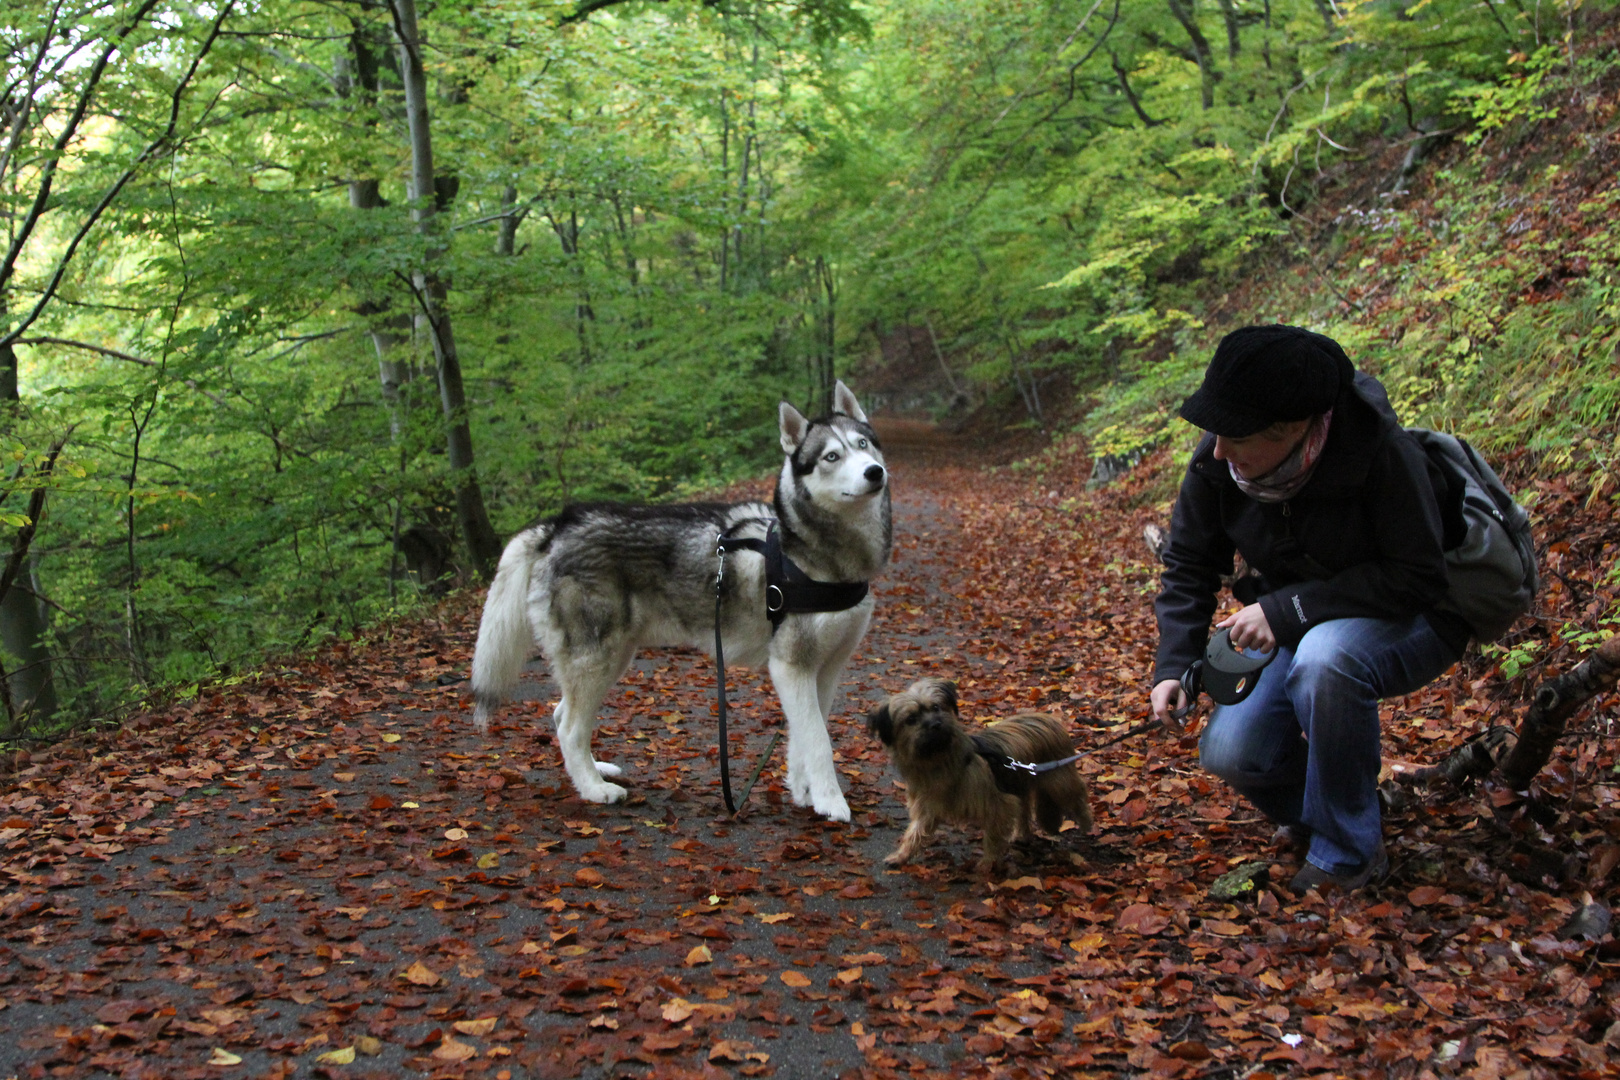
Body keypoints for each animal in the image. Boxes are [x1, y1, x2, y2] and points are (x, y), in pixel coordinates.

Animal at [868, 680, 1095, 874]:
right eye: (911, 719)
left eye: (936, 708)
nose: (936, 724)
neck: (940, 761)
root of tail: (1048, 717)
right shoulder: (928, 807)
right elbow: (915, 833)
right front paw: (901, 856)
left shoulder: (999, 804)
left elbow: (993, 836)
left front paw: (988, 864)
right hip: (1018, 782)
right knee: (1024, 809)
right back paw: (1021, 835)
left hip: (1059, 781)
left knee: (1077, 796)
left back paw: (1087, 825)